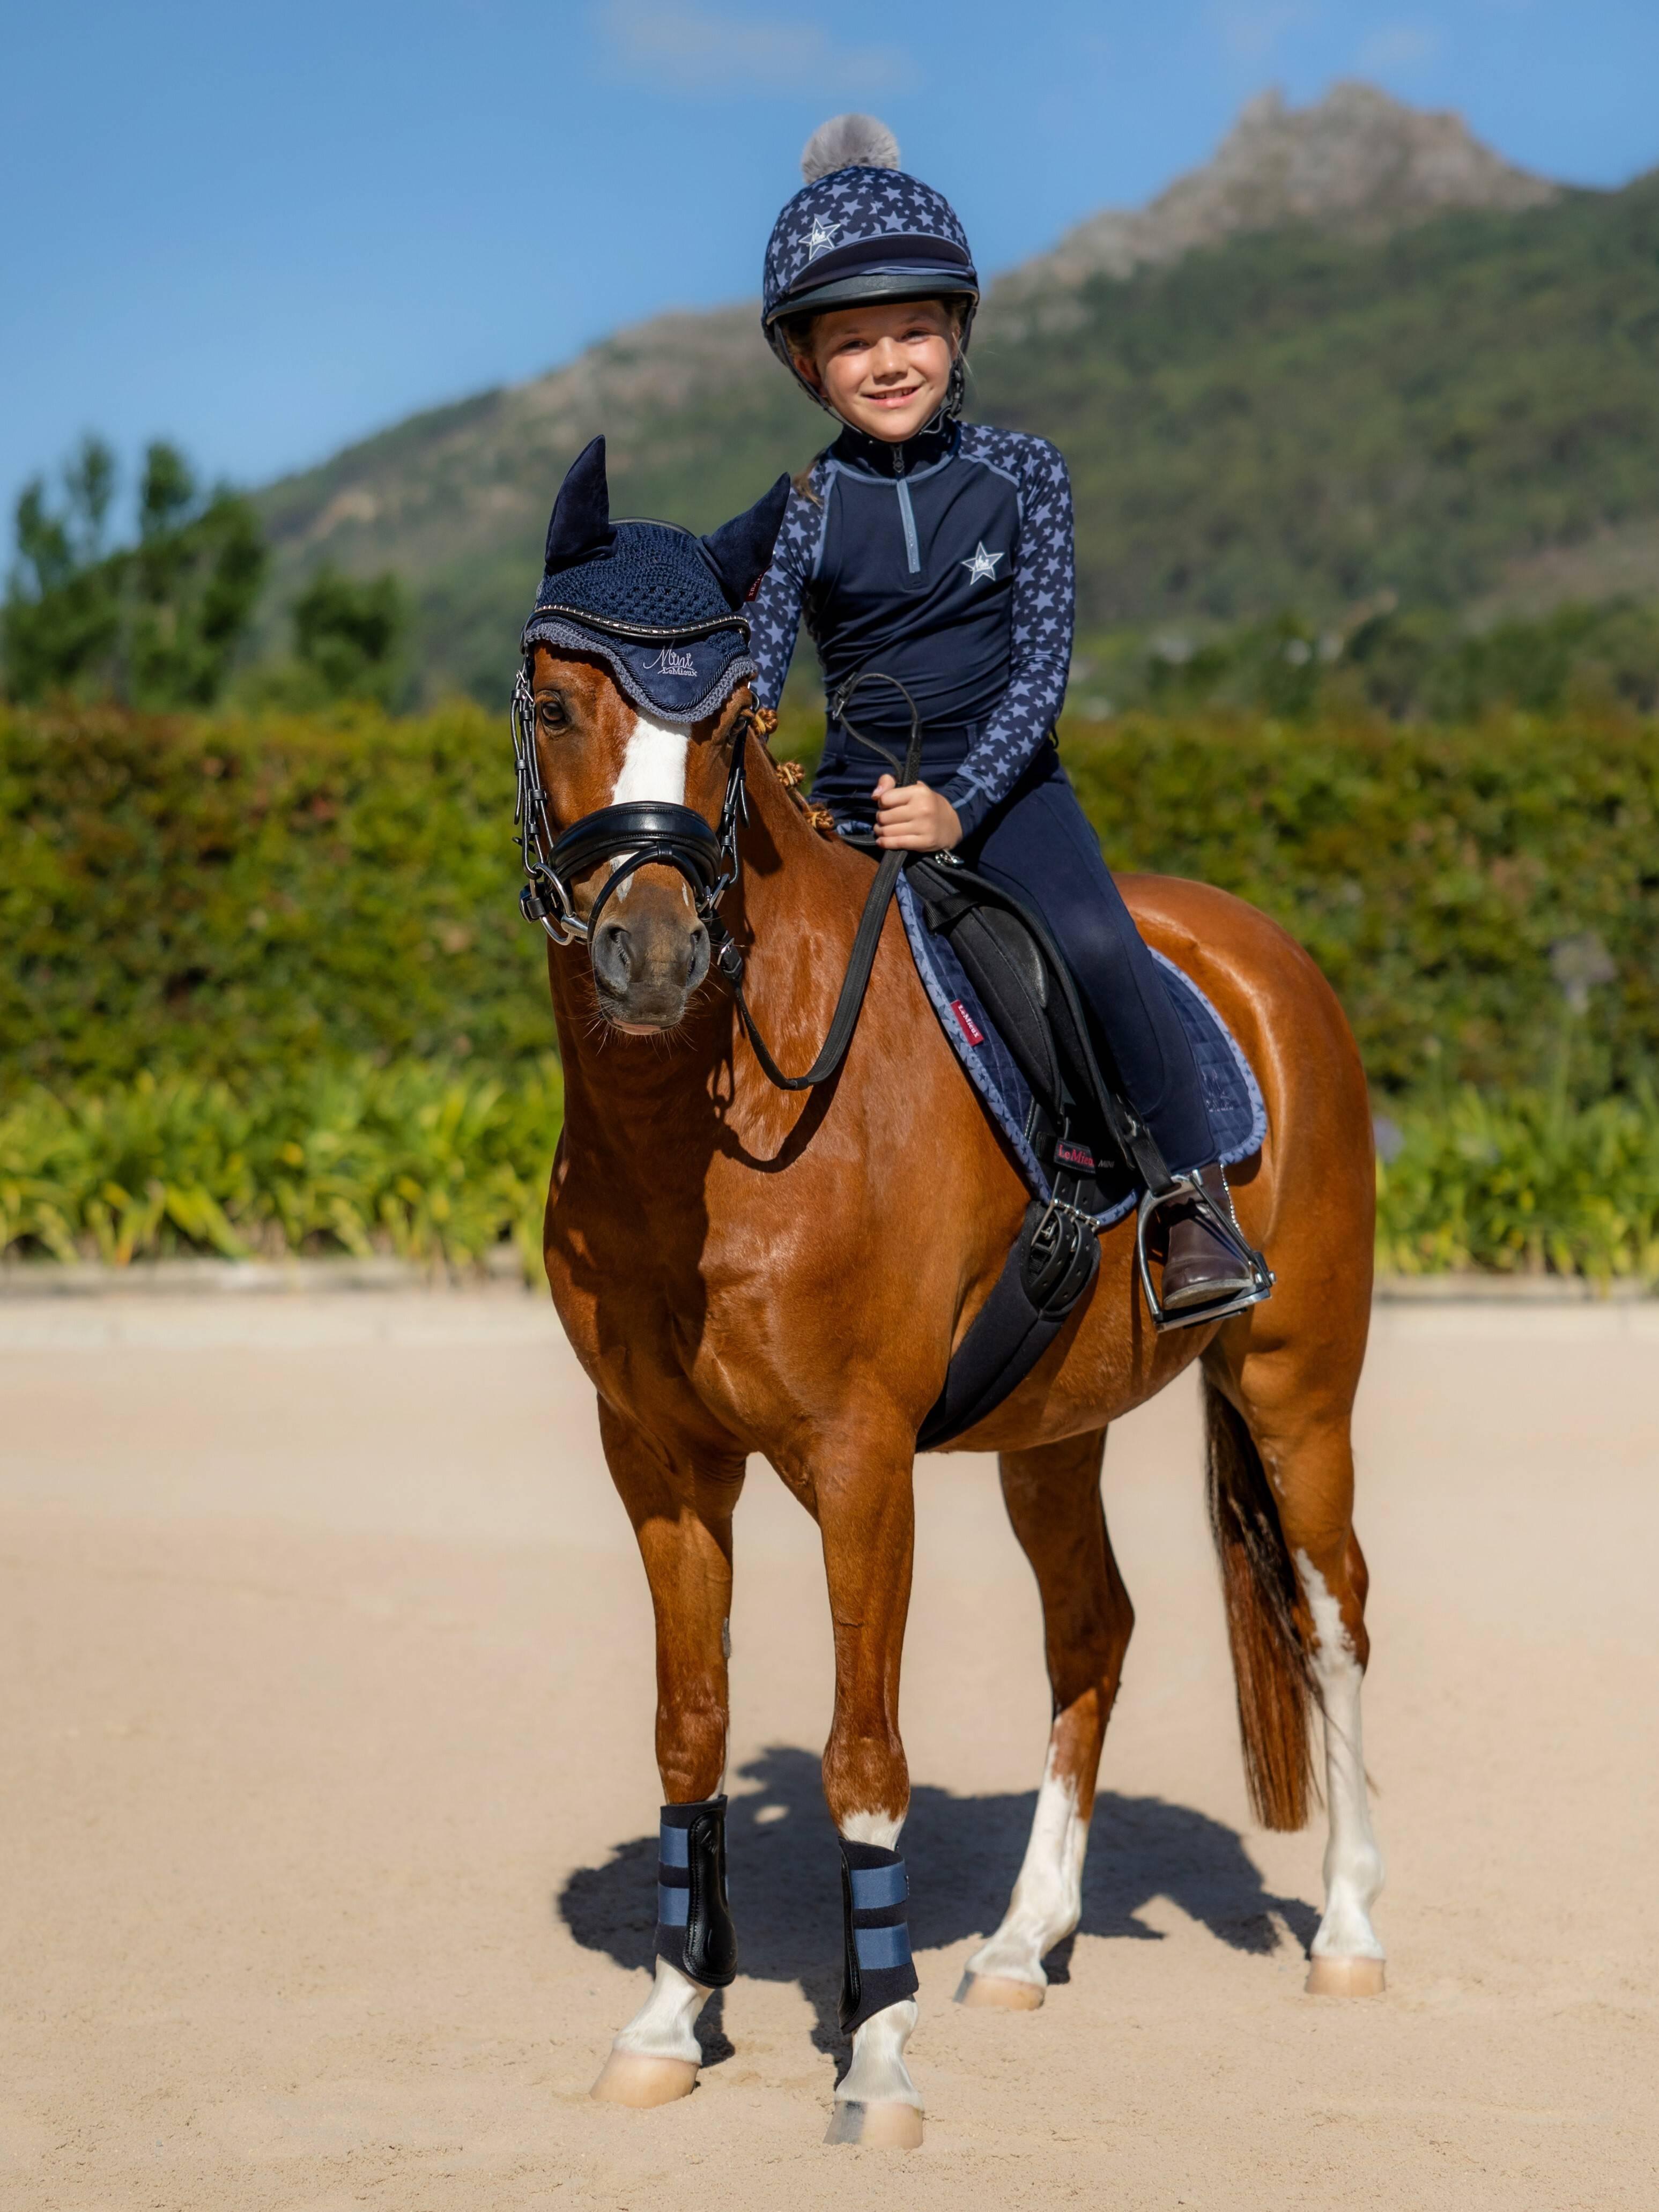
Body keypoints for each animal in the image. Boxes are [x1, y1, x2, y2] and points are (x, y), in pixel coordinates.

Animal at [523, 644, 1384, 2149]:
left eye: (728, 728)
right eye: (558, 704)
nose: (656, 952)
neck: (707, 1129)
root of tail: (1264, 953)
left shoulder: (860, 1457)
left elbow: (863, 1755)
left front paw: (875, 2056)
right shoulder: (660, 1458)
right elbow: (689, 1728)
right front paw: (669, 2019)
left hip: (1299, 1386)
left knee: (1333, 1617)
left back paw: (1344, 1932)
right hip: (1056, 1433)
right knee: (1093, 1628)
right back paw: (1022, 1940)